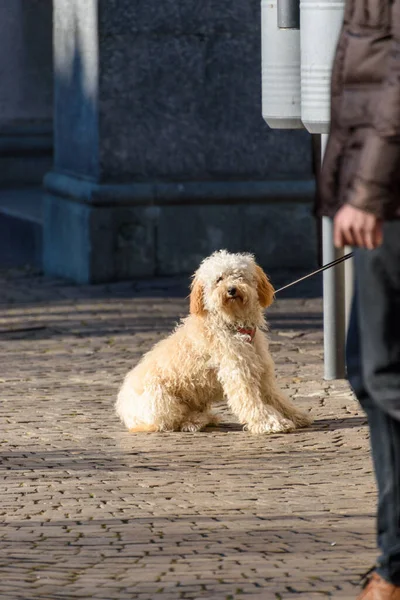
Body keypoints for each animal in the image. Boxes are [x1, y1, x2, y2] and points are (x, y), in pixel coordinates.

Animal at [115, 251, 312, 434]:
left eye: (239, 276)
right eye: (219, 279)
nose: (231, 289)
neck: (233, 325)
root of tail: (124, 412)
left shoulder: (262, 373)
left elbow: (277, 398)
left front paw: (296, 416)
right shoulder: (238, 374)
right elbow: (251, 402)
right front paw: (269, 424)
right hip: (163, 401)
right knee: (170, 422)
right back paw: (195, 421)